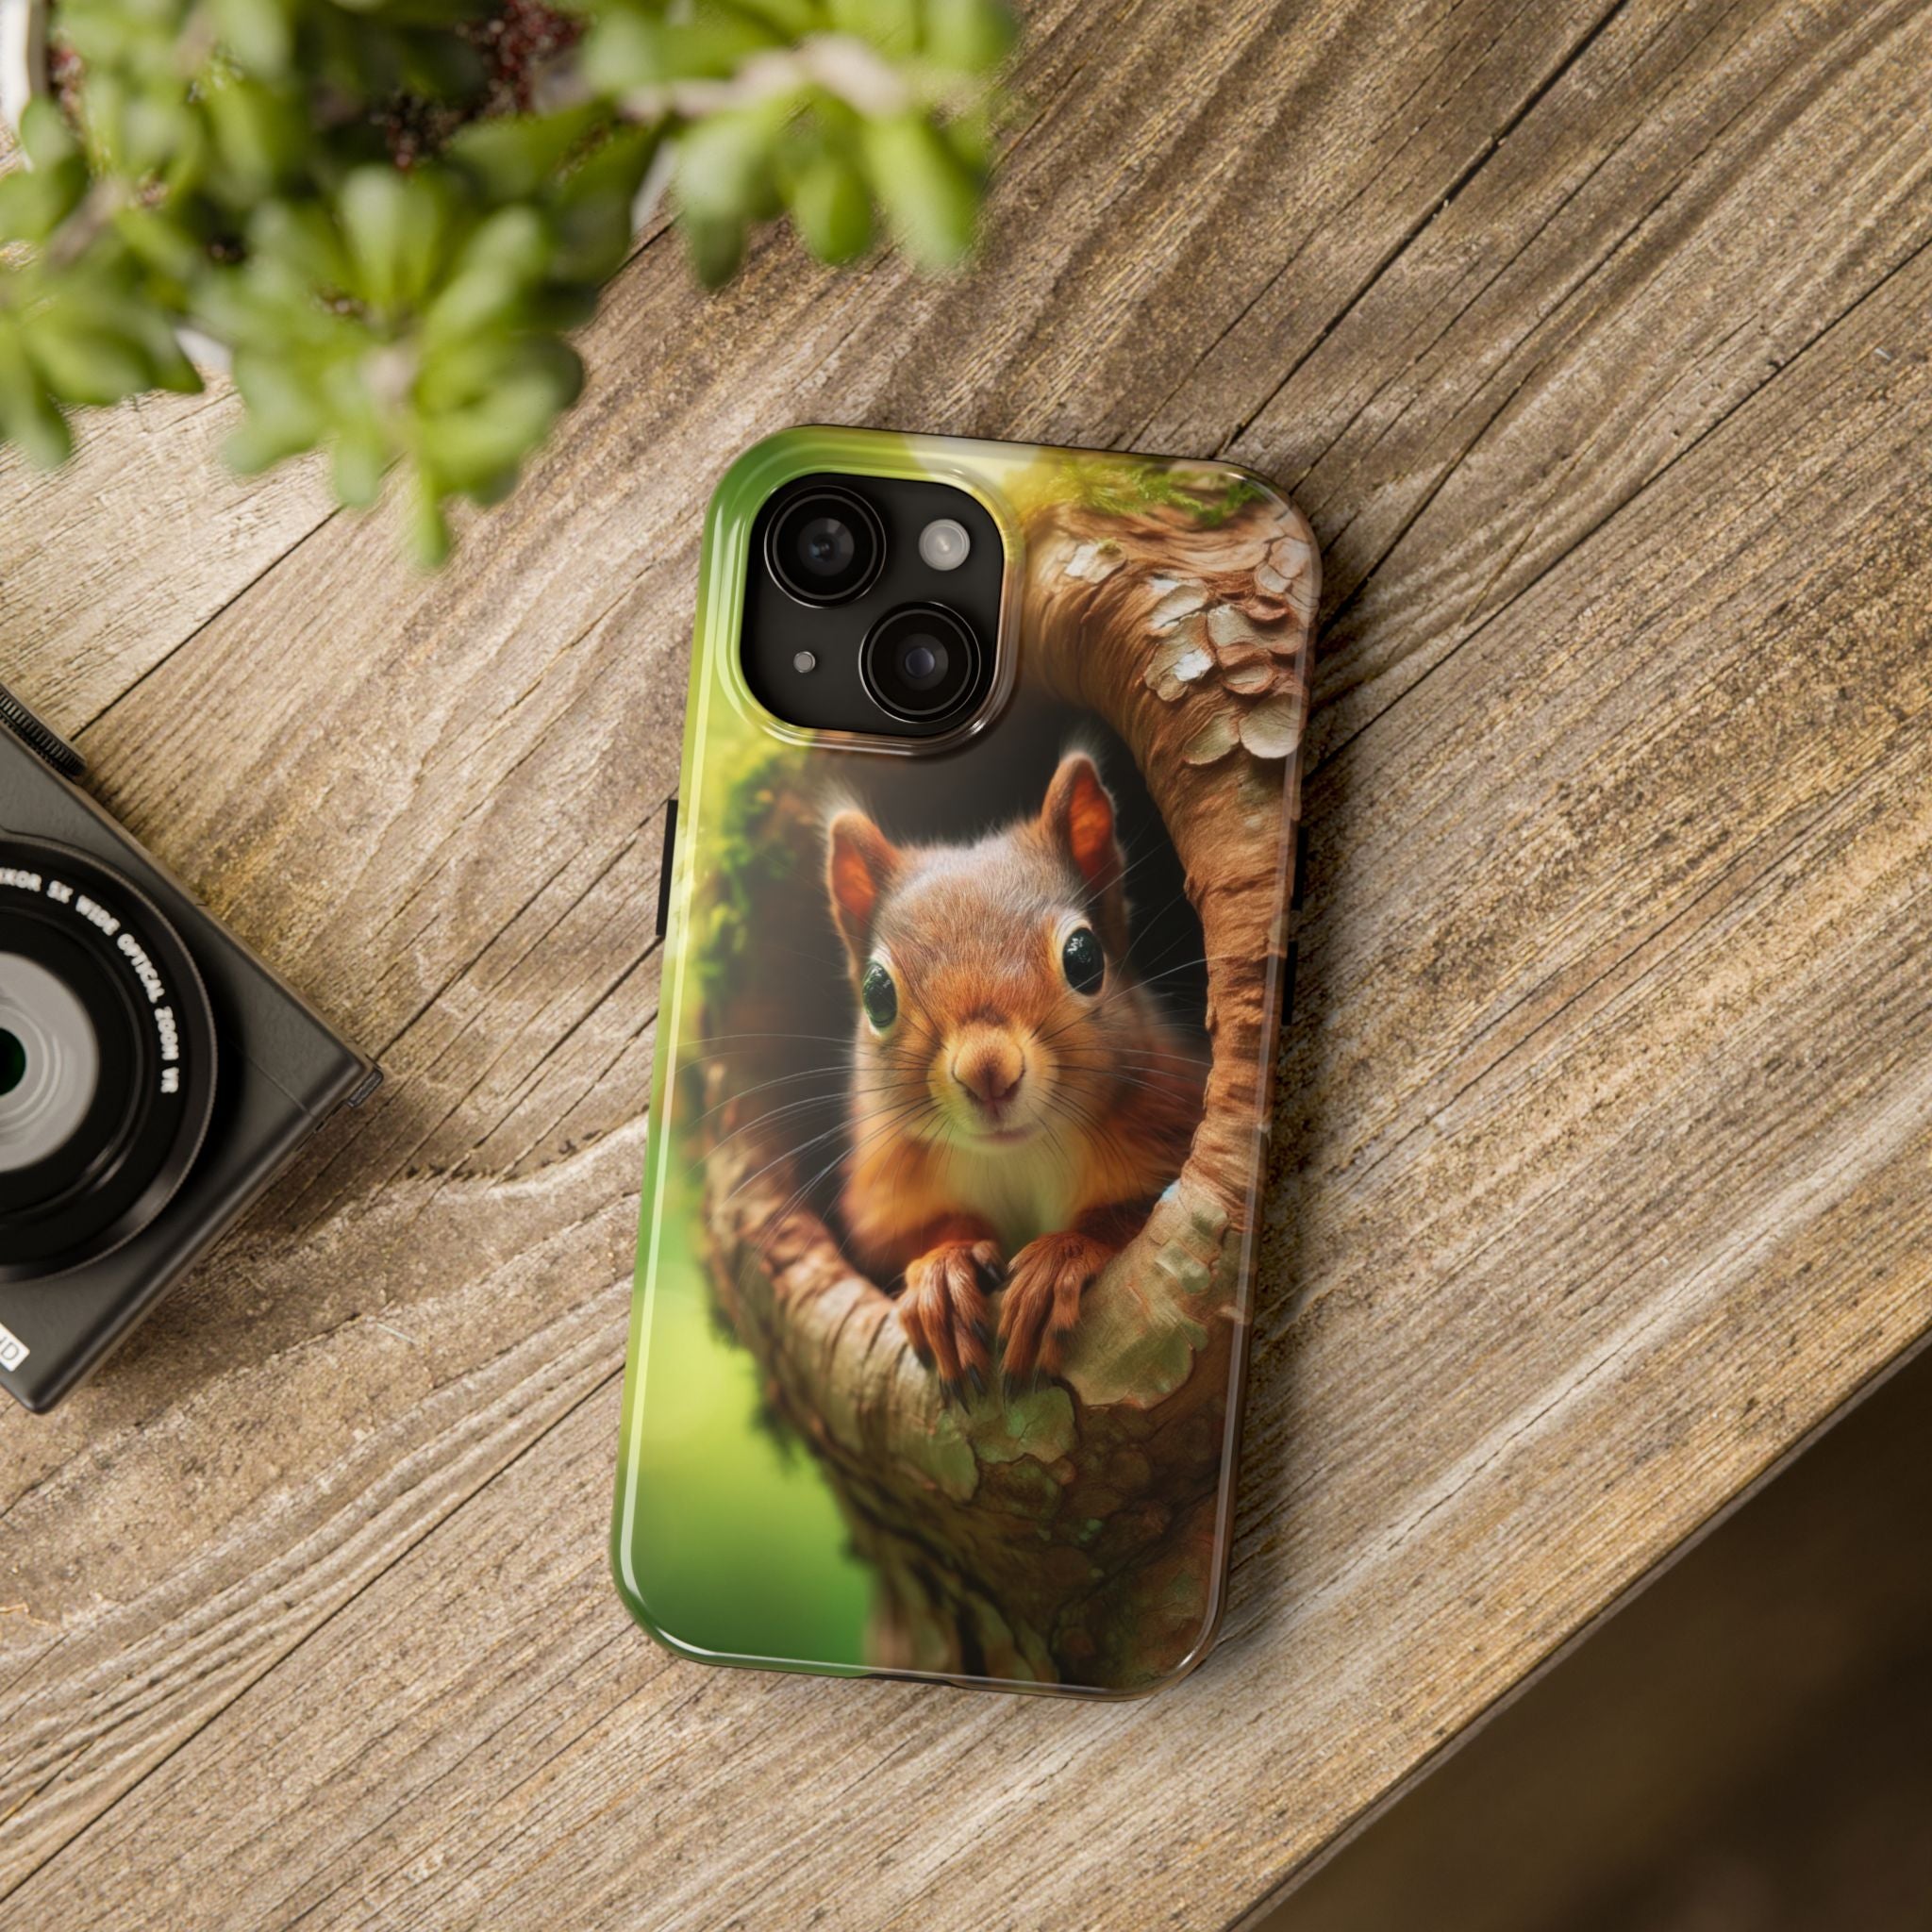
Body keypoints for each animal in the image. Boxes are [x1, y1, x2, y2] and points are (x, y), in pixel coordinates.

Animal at [824, 751, 1204, 1402]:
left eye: (1084, 957)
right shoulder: (887, 1188)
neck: (1016, 1156)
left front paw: (1059, 1261)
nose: (987, 1071)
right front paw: (943, 1274)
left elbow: (1132, 1214)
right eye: (876, 994)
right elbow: (913, 1237)